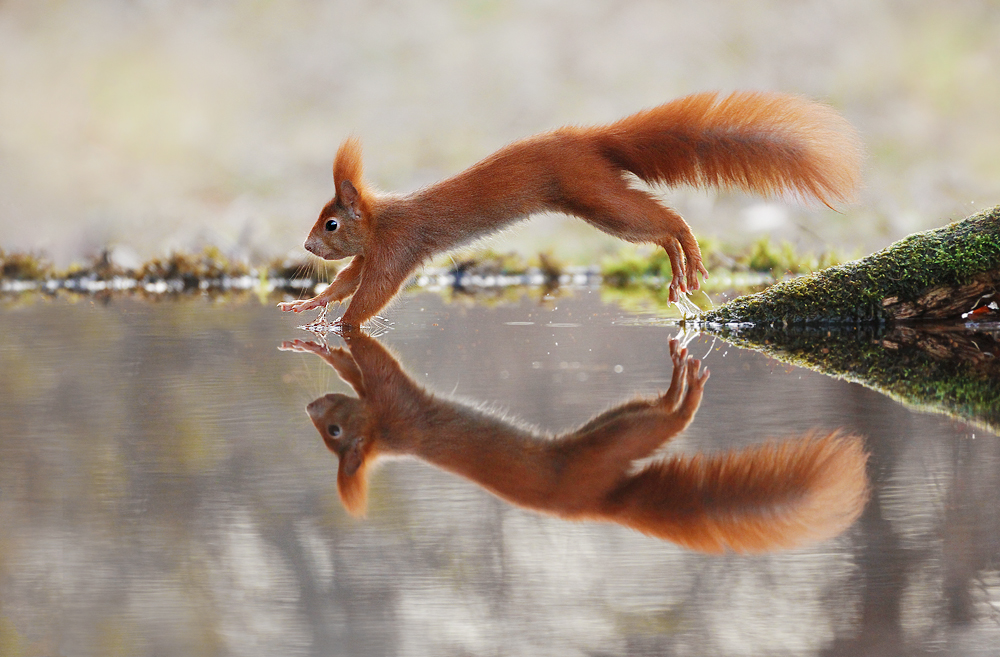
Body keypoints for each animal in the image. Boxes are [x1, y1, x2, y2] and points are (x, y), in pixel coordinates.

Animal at [280, 91, 860, 326]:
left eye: (330, 222)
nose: (306, 244)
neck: (380, 221)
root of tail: (592, 139)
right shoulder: (371, 252)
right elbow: (348, 280)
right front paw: (311, 305)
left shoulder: (398, 247)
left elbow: (372, 294)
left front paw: (339, 329)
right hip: (599, 198)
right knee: (657, 227)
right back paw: (679, 270)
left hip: (597, 196)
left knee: (666, 221)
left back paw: (689, 258)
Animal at [282, 336, 868, 552]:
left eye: (333, 433)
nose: (308, 408)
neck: (387, 433)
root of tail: (604, 505)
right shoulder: (396, 405)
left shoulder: (397, 406)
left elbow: (363, 364)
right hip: (609, 440)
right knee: (662, 419)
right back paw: (688, 392)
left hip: (605, 439)